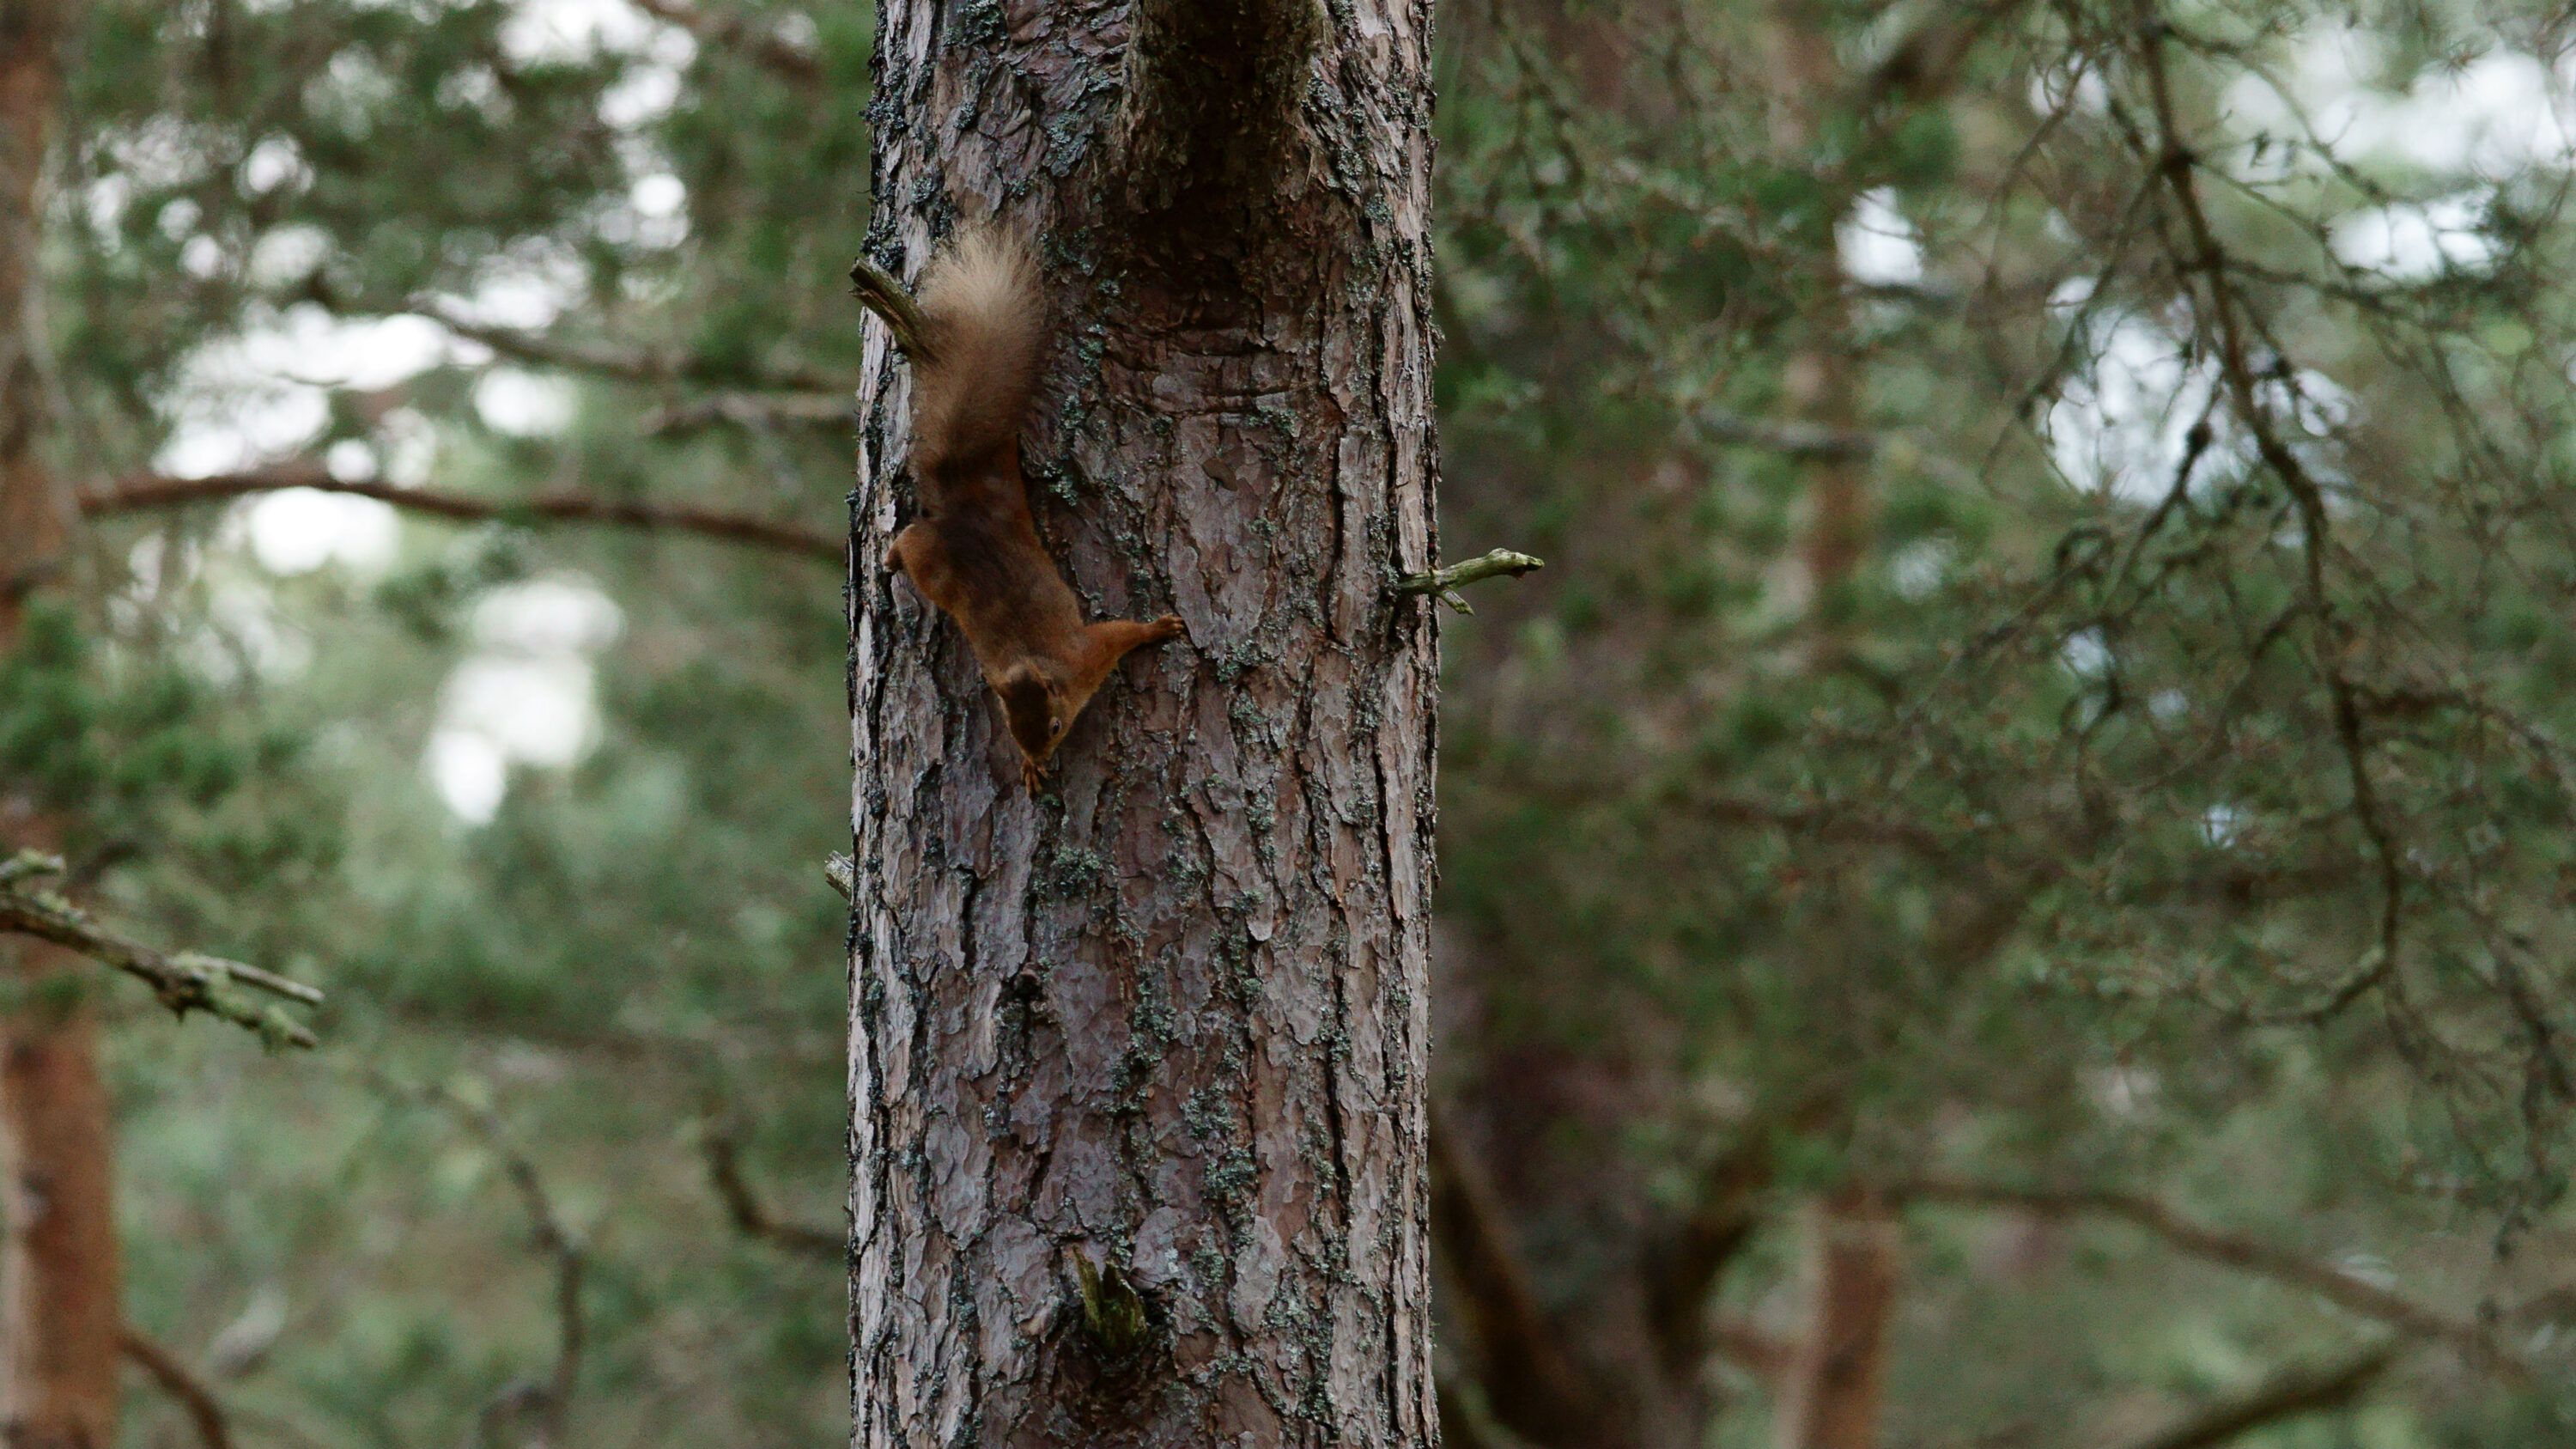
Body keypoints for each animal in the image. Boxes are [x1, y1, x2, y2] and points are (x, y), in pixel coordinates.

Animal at [878, 227, 1184, 792]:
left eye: (1056, 724)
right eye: (1012, 727)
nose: (1039, 754)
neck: (1046, 668)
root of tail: (967, 507)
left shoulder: (1088, 655)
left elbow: (1125, 633)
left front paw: (1158, 629)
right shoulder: (1086, 655)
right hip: (936, 568)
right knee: (909, 540)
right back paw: (889, 557)